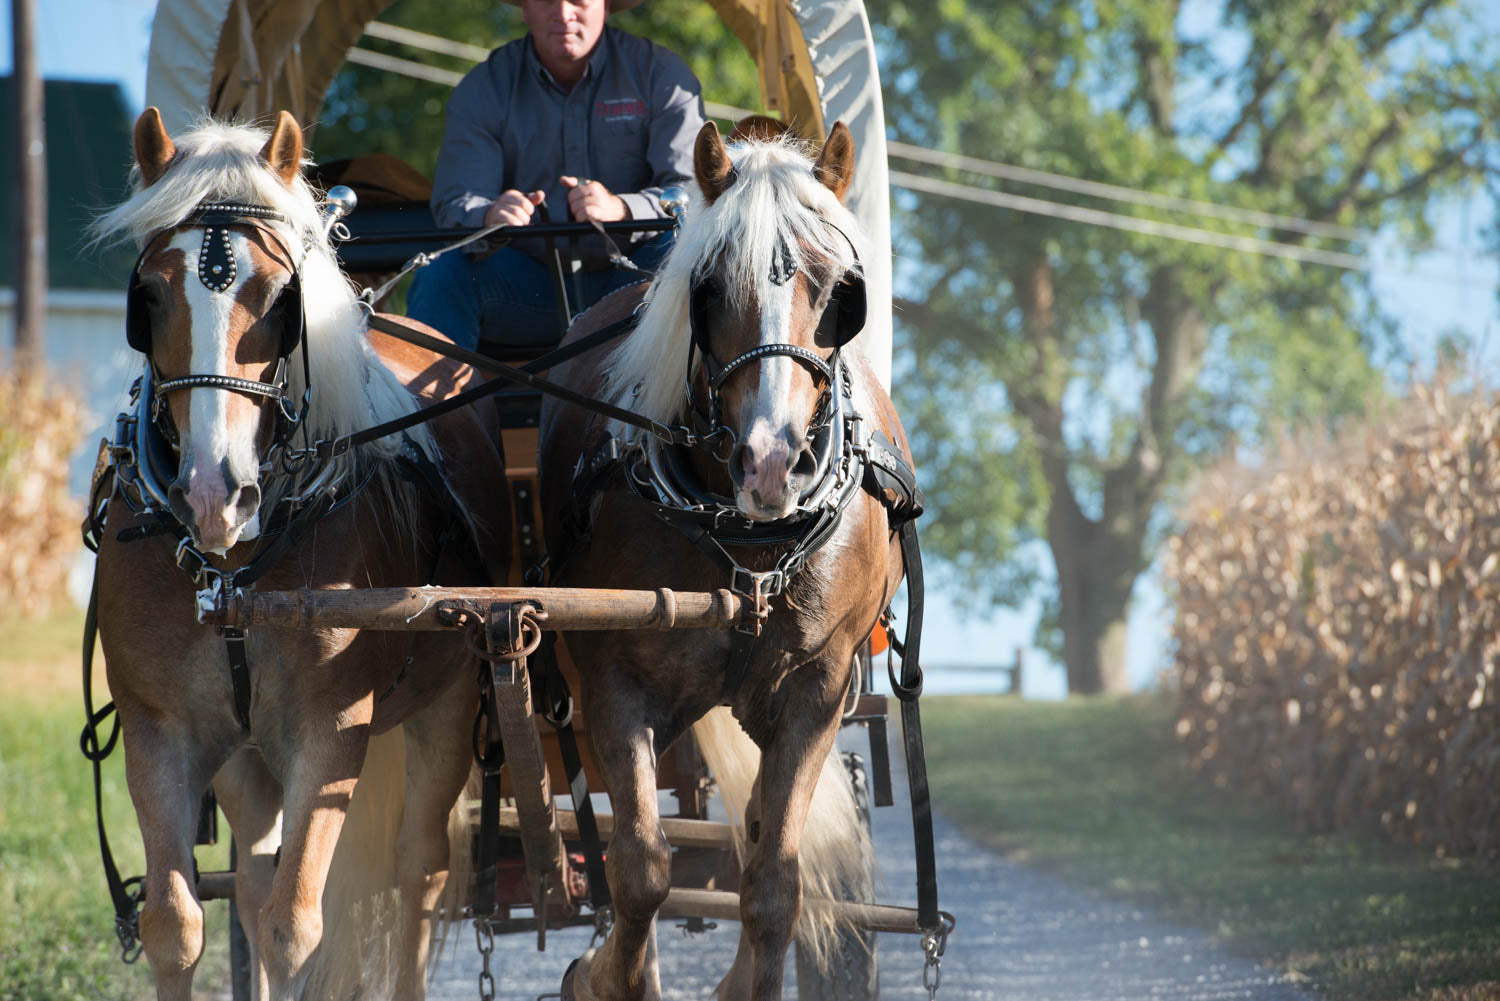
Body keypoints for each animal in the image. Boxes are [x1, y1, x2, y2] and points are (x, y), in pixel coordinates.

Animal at [95, 109, 516, 1001]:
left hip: (449, 701)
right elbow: (176, 925)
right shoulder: (161, 727)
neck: (232, 571)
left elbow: (295, 928)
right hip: (246, 754)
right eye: (148, 296)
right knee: (255, 882)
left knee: (420, 869)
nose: (213, 493)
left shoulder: (331, 727)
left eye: (278, 299)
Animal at [540, 119, 912, 1001]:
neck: (749, 542)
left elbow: (775, 876)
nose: (771, 463)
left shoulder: (819, 686)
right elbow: (641, 865)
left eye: (840, 289)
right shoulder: (612, 679)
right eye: (707, 289)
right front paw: (605, 977)